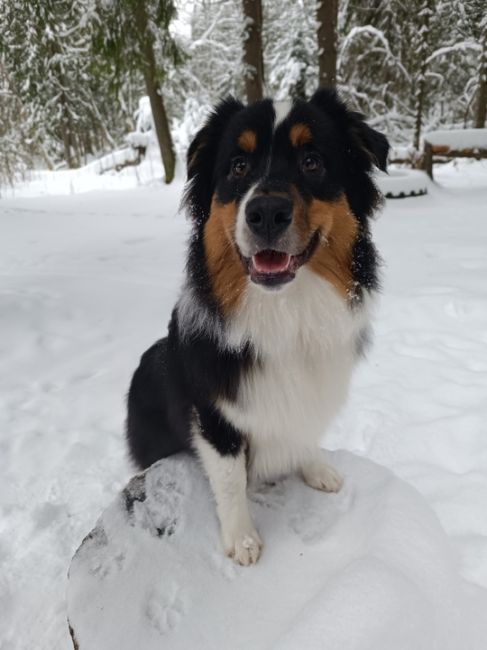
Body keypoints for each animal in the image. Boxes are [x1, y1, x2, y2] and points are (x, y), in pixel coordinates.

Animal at [127, 90, 390, 560]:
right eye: (238, 166)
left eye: (312, 161)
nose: (266, 211)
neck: (284, 310)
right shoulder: (214, 414)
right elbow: (230, 479)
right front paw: (242, 540)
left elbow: (304, 430)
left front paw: (316, 469)